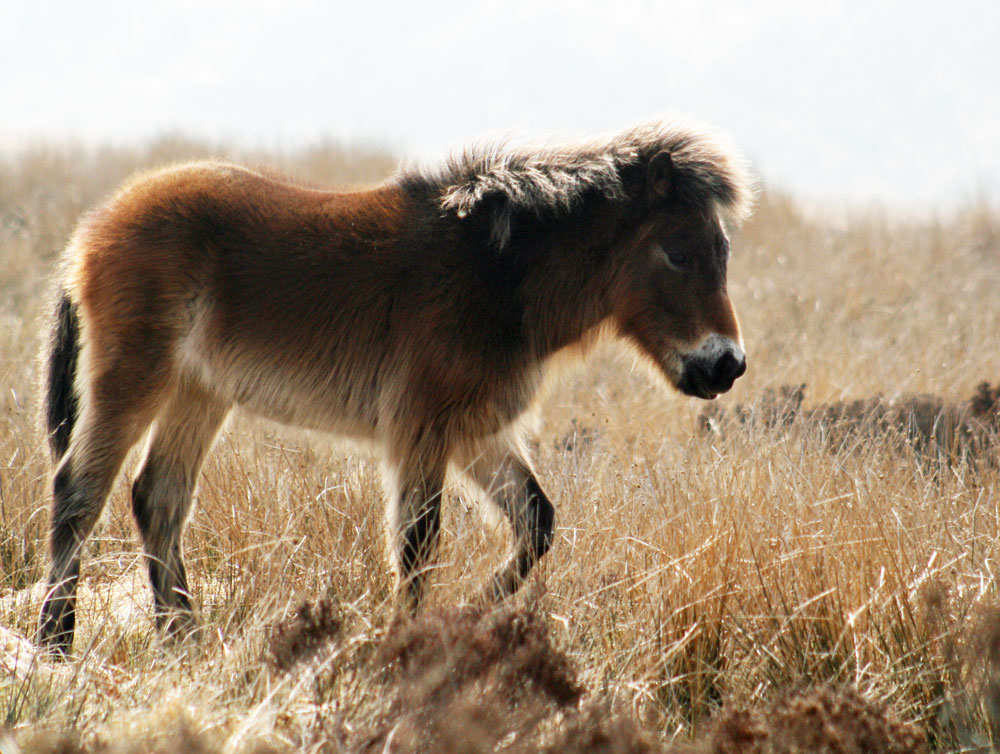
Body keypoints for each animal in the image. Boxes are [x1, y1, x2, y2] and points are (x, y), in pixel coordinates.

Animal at [41, 119, 756, 652]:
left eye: (724, 250)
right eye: (678, 252)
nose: (726, 365)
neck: (498, 273)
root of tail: (87, 233)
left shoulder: (473, 432)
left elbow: (535, 524)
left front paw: (459, 622)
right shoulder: (423, 429)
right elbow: (417, 542)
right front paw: (403, 646)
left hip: (199, 391)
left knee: (156, 497)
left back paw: (182, 639)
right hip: (134, 375)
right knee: (80, 489)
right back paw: (56, 645)